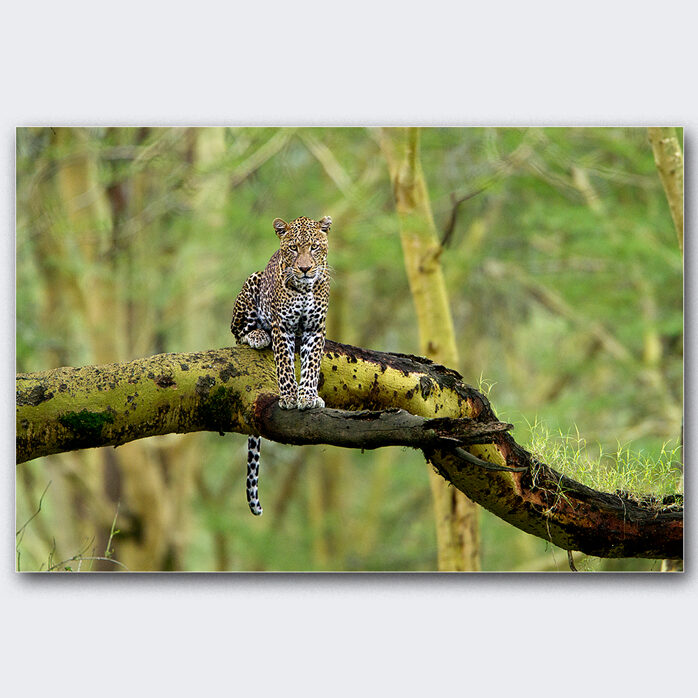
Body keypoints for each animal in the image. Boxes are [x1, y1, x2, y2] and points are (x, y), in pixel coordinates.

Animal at [231, 215, 331, 516]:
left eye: (314, 247)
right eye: (293, 248)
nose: (305, 268)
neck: (305, 289)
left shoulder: (316, 329)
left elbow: (312, 365)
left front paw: (308, 397)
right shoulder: (282, 327)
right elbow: (285, 366)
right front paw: (289, 397)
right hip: (251, 284)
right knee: (238, 332)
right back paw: (255, 335)